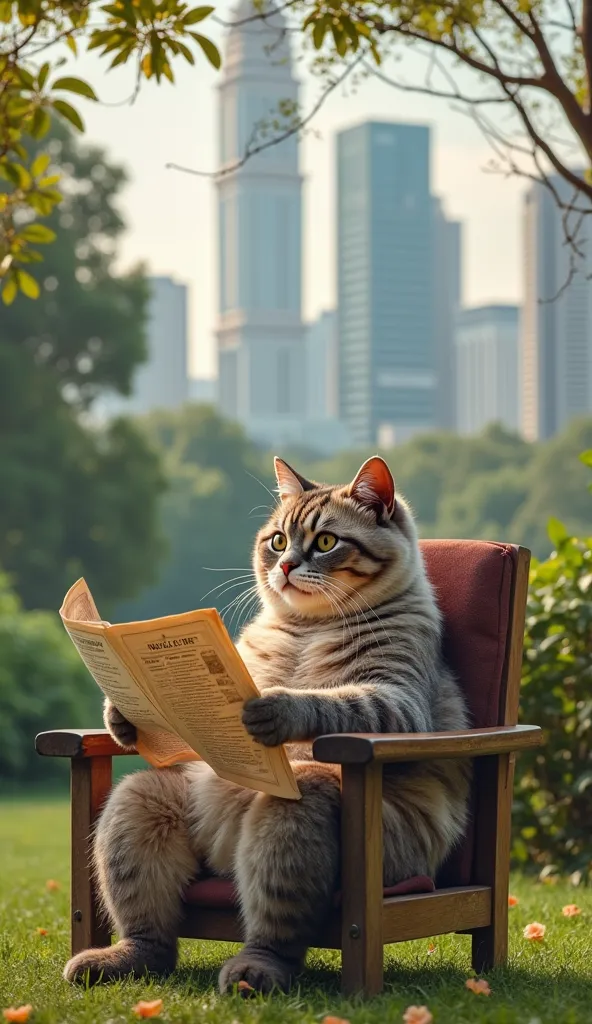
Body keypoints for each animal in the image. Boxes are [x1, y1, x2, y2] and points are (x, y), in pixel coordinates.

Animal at [63, 454, 471, 991]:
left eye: (325, 542)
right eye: (277, 541)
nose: (286, 565)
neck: (309, 626)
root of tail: (225, 848)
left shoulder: (398, 701)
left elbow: (332, 702)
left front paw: (274, 708)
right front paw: (123, 714)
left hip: (305, 810)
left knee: (274, 931)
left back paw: (252, 973)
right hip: (146, 803)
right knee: (151, 934)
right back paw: (116, 961)